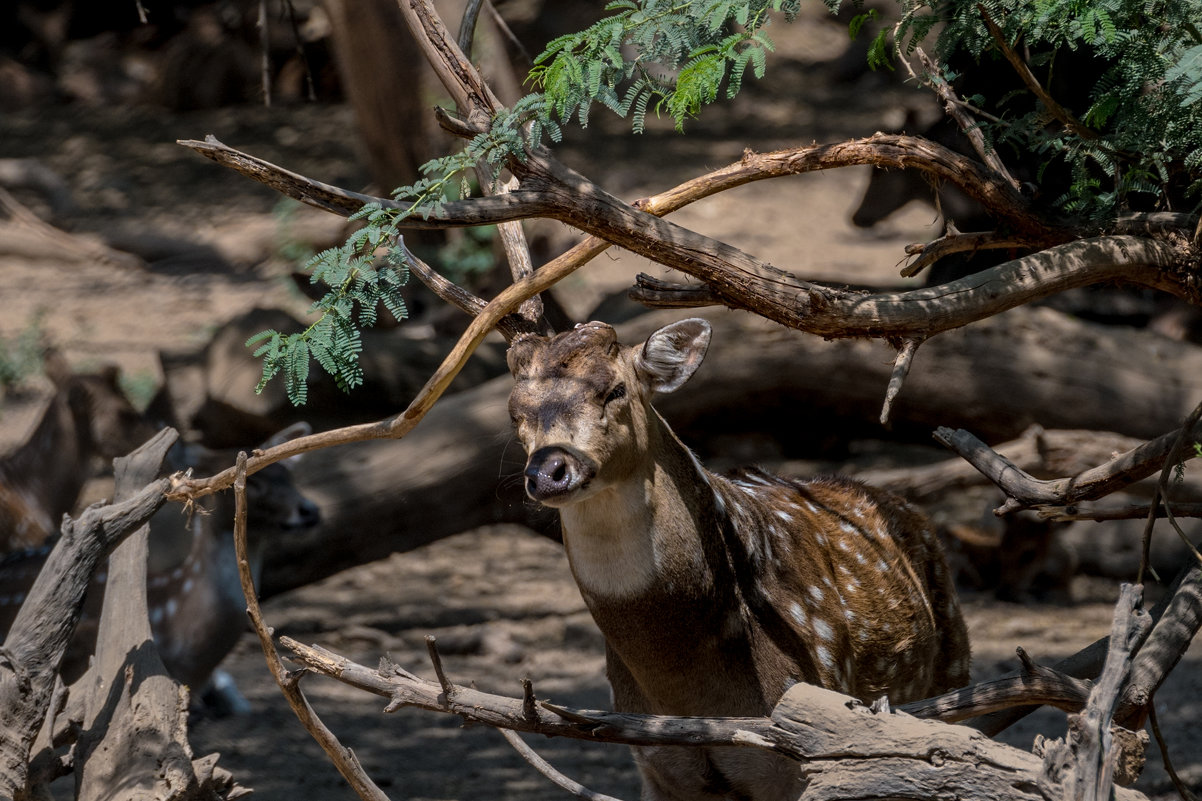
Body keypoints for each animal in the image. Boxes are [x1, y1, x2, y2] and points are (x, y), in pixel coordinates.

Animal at [504, 317, 966, 798]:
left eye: (615, 389)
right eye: (514, 411)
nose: (549, 471)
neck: (685, 690)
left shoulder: (800, 747)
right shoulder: (654, 762)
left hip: (954, 676)